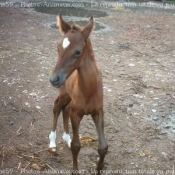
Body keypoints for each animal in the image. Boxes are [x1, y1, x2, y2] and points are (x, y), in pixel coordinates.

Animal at [48, 14, 107, 174]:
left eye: (78, 52)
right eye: (57, 48)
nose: (54, 79)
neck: (89, 90)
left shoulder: (98, 112)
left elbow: (103, 147)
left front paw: (99, 168)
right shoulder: (76, 114)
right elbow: (76, 146)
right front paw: (75, 170)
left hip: (69, 97)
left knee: (65, 109)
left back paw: (66, 138)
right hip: (64, 93)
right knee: (57, 107)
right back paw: (52, 142)